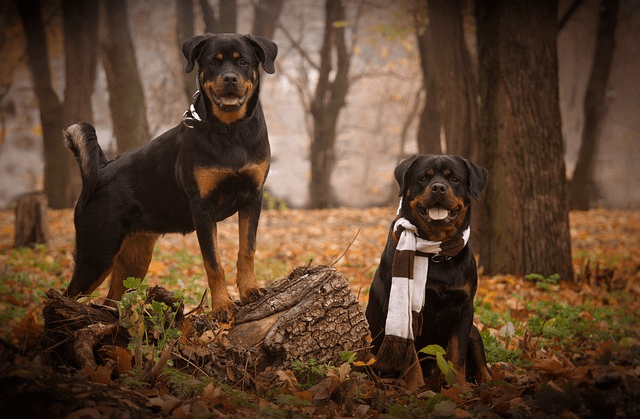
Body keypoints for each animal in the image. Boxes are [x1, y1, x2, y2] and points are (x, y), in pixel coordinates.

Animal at [62, 34, 278, 322]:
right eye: (213, 62)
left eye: (243, 61)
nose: (230, 78)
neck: (229, 131)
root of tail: (99, 174)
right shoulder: (202, 209)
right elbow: (213, 262)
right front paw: (222, 305)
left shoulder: (253, 198)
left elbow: (247, 249)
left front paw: (249, 290)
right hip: (97, 253)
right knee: (66, 296)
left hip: (134, 258)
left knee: (112, 301)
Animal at [364, 153, 490, 388]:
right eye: (423, 178)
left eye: (455, 179)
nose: (439, 187)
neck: (437, 253)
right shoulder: (405, 309)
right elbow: (411, 355)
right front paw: (415, 387)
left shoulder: (465, 308)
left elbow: (457, 353)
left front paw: (458, 388)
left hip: (475, 332)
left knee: (481, 363)